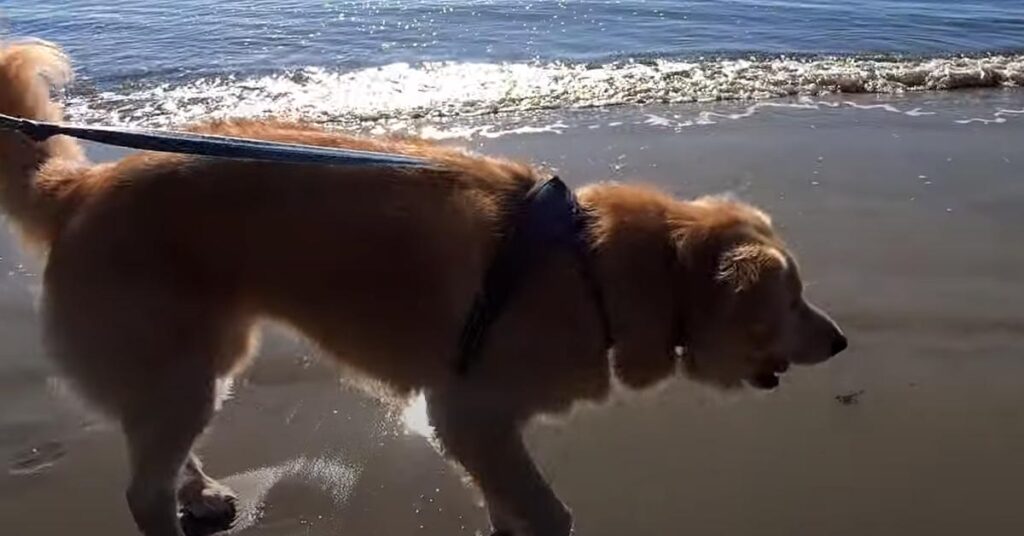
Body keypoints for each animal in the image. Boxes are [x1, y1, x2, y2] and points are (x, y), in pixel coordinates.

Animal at [0, 40, 847, 536]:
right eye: (791, 301)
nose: (842, 341)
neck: (592, 266)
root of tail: (80, 188)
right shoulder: (468, 411)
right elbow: (547, 513)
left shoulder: (485, 427)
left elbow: (514, 505)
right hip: (178, 368)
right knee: (141, 490)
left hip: (199, 365)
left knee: (160, 458)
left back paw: (200, 492)